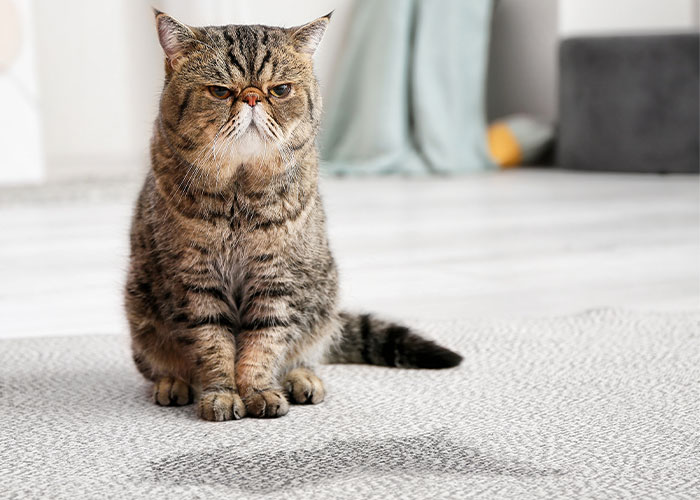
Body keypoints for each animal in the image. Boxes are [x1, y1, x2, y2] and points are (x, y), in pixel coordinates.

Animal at [124, 9, 464, 420]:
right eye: (220, 91)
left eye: (280, 90)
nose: (252, 96)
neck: (239, 194)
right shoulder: (197, 281)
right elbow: (213, 345)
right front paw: (222, 394)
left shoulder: (277, 277)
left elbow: (264, 343)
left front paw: (258, 390)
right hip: (139, 312)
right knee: (158, 365)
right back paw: (173, 383)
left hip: (323, 300)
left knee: (304, 352)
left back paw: (302, 380)